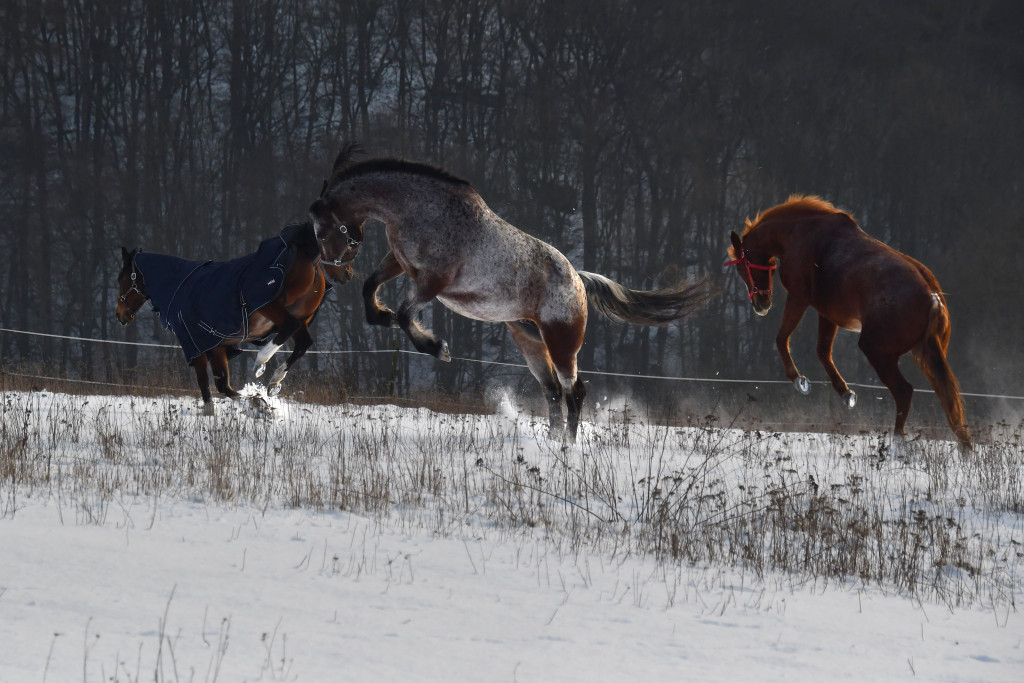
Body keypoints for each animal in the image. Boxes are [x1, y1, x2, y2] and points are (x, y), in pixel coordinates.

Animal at [116, 222, 362, 411]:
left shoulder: (197, 347)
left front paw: (218, 411)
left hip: (271, 308)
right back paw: (274, 379)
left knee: (289, 330)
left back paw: (262, 361)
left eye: (122, 278)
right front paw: (257, 402)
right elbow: (223, 386)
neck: (180, 286)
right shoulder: (217, 347)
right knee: (303, 342)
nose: (120, 315)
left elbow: (208, 385)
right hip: (301, 315)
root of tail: (302, 251)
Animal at [307, 146, 716, 440]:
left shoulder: (432, 281)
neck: (422, 210)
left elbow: (408, 315)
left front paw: (437, 348)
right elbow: (371, 291)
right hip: (530, 341)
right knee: (553, 392)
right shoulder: (400, 263)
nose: (335, 275)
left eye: (325, 230)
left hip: (562, 344)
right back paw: (553, 441)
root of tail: (578, 280)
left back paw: (568, 446)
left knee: (575, 391)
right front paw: (383, 316)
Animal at [724, 196, 970, 448]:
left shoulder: (799, 297)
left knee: (904, 392)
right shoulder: (827, 314)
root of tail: (932, 297)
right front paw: (846, 393)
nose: (760, 304)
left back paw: (897, 439)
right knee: (948, 400)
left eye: (743, 266)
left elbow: (782, 339)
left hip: (878, 351)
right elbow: (823, 352)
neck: (800, 232)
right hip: (926, 354)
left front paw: (799, 381)